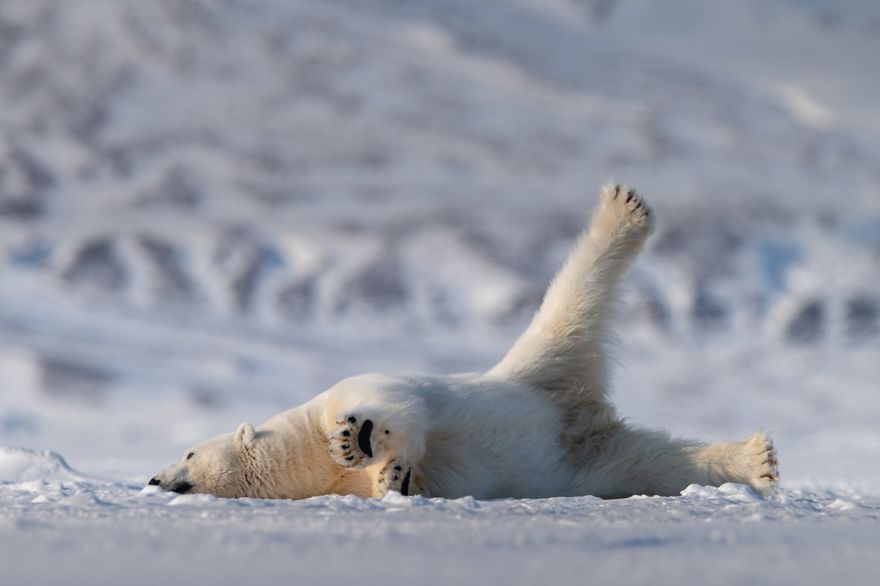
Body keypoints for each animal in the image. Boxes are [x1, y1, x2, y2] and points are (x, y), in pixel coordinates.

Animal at [150, 186, 776, 498]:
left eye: (189, 452)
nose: (155, 479)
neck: (304, 455)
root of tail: (574, 412)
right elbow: (399, 483)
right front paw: (393, 478)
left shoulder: (347, 391)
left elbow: (396, 406)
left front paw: (360, 439)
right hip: (583, 453)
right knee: (652, 463)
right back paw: (757, 460)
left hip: (538, 361)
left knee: (572, 299)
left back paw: (622, 210)